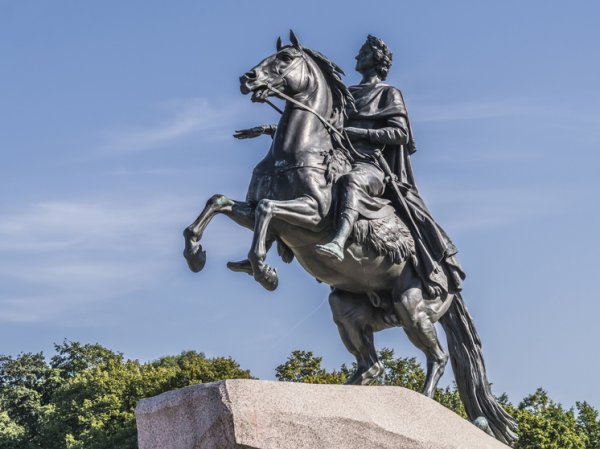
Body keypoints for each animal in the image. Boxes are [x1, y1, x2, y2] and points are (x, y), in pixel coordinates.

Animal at [182, 31, 516, 444]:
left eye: (286, 58)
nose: (248, 78)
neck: (296, 152)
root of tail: (452, 283)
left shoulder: (309, 214)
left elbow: (268, 212)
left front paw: (265, 271)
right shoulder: (253, 209)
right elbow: (219, 202)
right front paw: (197, 254)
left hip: (412, 307)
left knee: (436, 358)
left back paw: (424, 405)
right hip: (345, 307)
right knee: (372, 365)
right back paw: (346, 394)